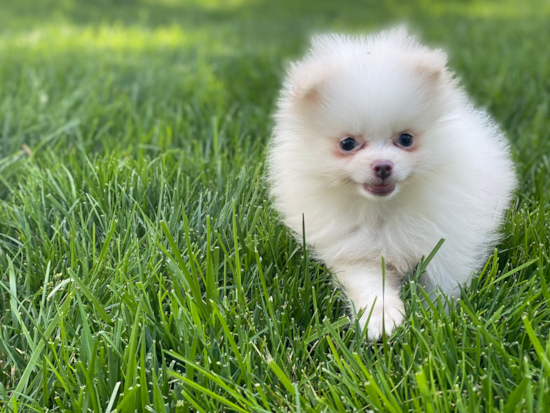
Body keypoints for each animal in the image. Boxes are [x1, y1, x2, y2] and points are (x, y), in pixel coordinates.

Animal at [270, 28, 520, 338]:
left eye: (405, 139)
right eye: (347, 144)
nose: (382, 166)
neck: (382, 210)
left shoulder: (447, 239)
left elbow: (442, 281)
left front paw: (437, 317)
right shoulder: (353, 248)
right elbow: (368, 282)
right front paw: (381, 318)